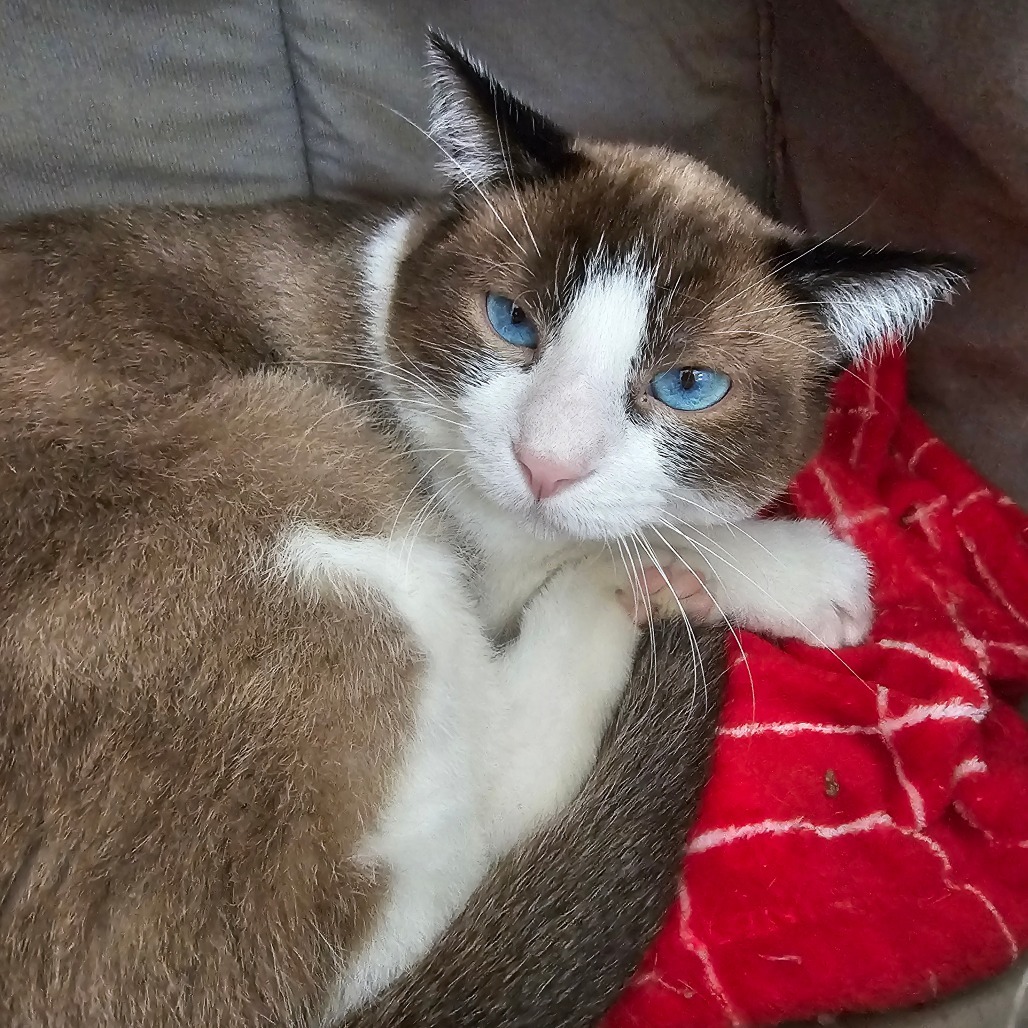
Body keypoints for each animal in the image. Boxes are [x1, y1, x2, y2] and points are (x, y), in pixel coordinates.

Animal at [0, 32, 962, 1028]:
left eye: (688, 386)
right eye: (512, 323)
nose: (545, 463)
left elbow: (644, 519)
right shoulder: (481, 548)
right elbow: (632, 537)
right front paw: (807, 576)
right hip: (316, 473)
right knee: (490, 826)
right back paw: (654, 605)